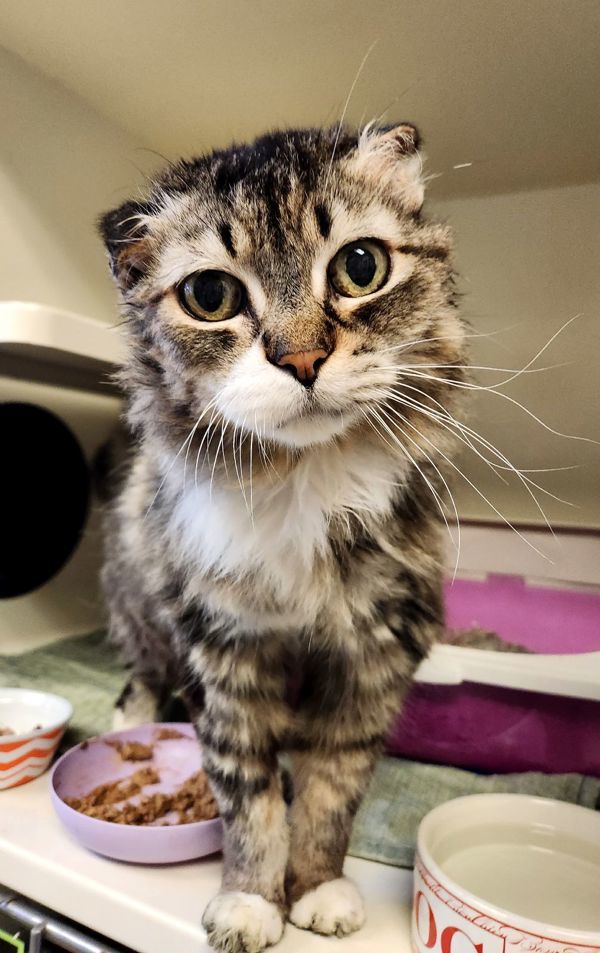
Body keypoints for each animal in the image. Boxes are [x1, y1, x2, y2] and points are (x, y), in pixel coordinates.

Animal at [98, 124, 464, 952]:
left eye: (361, 267)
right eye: (211, 296)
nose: (301, 358)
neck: (306, 483)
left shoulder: (375, 658)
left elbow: (332, 796)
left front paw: (318, 888)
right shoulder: (225, 656)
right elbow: (250, 800)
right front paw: (249, 901)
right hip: (136, 592)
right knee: (143, 672)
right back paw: (130, 716)